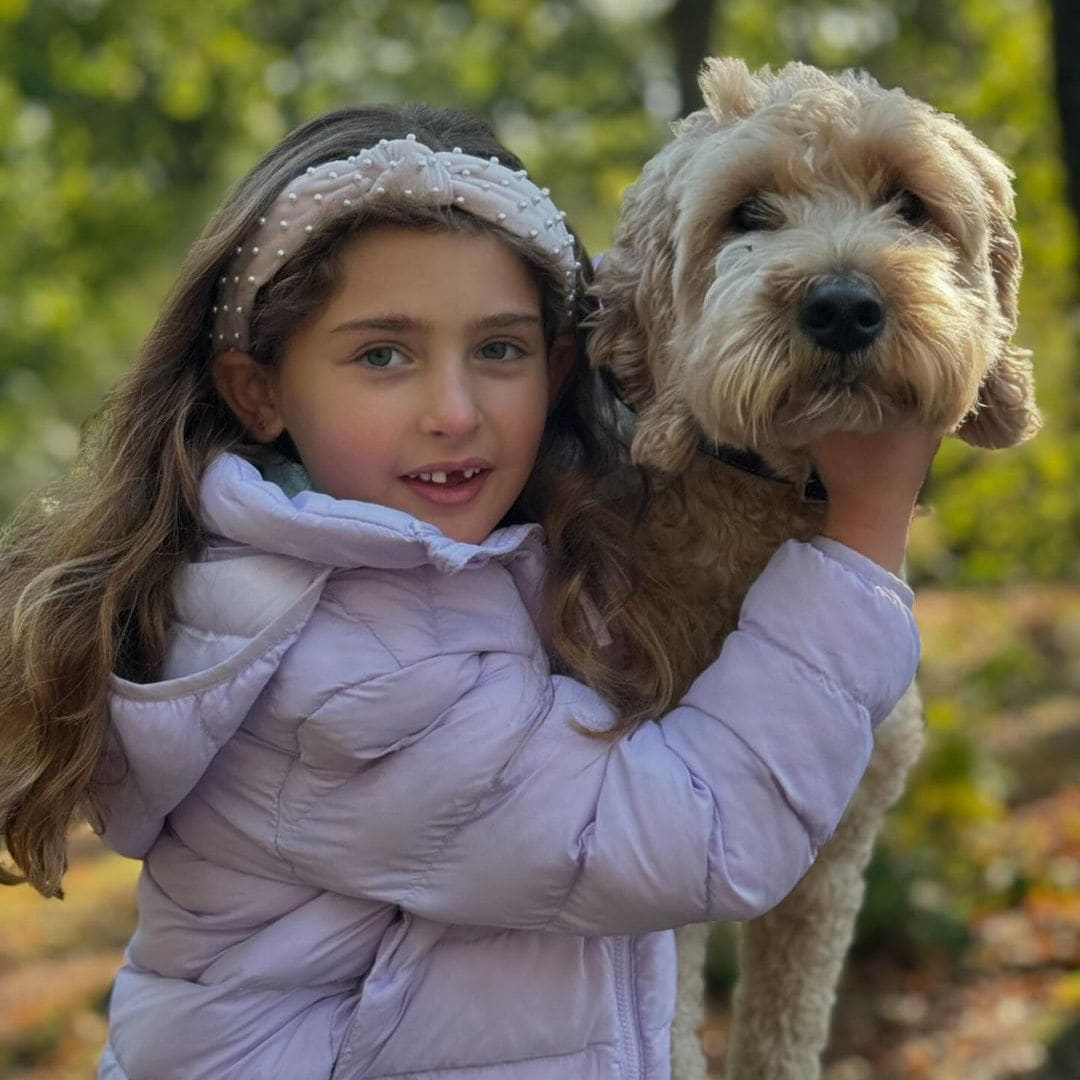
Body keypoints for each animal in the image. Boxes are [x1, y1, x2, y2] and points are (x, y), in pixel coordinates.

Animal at [587, 59, 1041, 1080]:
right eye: (748, 213)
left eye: (909, 203)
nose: (842, 305)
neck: (778, 514)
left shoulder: (831, 868)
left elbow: (783, 1032)